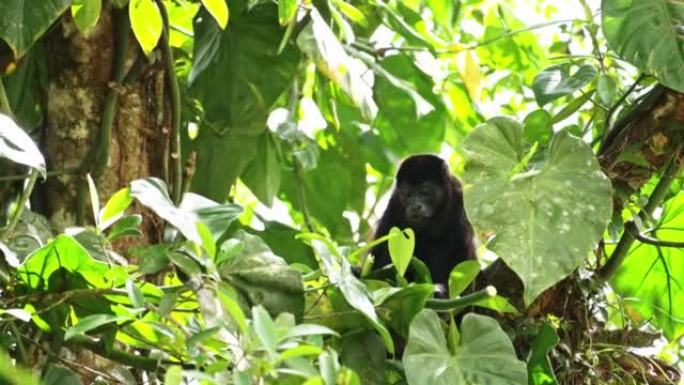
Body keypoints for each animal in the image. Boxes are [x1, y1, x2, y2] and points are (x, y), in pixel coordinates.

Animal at [368, 153, 476, 288]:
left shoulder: (459, 199)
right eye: (407, 194)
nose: (415, 206)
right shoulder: (394, 204)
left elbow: (461, 250)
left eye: (424, 192)